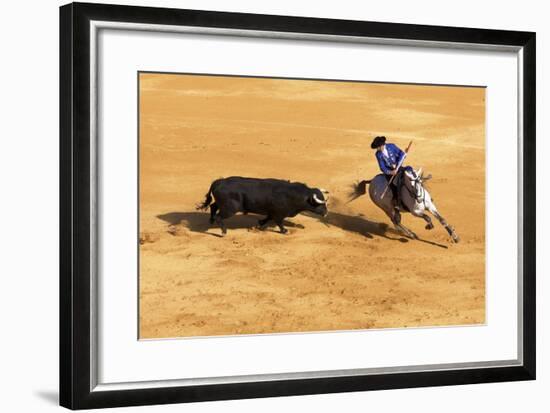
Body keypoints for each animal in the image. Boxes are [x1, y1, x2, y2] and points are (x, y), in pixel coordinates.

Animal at [197, 175, 330, 235]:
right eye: (318, 204)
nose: (326, 213)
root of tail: (219, 181)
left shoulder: (272, 212)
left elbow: (268, 218)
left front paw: (259, 224)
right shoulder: (279, 214)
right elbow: (279, 222)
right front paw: (285, 231)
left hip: (222, 205)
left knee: (213, 206)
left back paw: (211, 221)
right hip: (229, 209)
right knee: (219, 216)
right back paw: (223, 232)